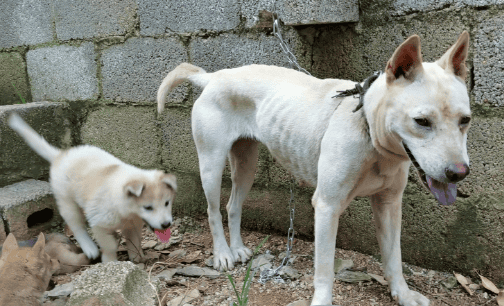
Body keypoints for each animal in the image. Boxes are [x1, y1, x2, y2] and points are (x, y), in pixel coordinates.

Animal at [7, 113, 177, 262]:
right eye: (148, 207)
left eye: (167, 203)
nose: (166, 224)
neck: (124, 208)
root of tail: (60, 155)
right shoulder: (99, 223)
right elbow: (109, 245)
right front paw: (110, 262)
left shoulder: (133, 224)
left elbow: (134, 241)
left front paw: (136, 257)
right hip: (67, 202)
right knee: (76, 226)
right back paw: (90, 248)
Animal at [158, 31, 472, 306]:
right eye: (422, 121)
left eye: (465, 120)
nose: (459, 173)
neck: (368, 130)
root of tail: (214, 76)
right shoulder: (327, 206)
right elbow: (324, 270)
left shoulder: (389, 204)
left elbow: (394, 257)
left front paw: (403, 295)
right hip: (211, 164)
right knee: (213, 210)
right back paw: (223, 253)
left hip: (247, 165)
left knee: (233, 206)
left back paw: (236, 248)